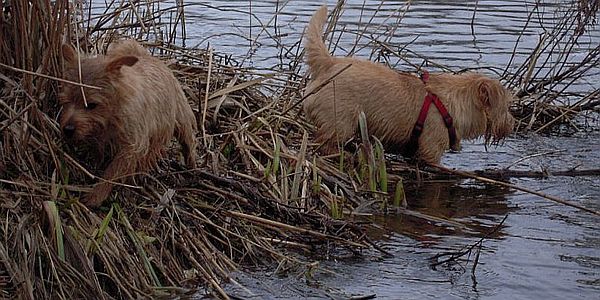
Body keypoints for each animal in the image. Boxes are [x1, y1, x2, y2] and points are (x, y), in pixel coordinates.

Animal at [60, 39, 198, 207]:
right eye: (66, 101)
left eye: (91, 105)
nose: (68, 129)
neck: (111, 115)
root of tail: (148, 56)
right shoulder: (101, 139)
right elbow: (99, 153)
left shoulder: (132, 146)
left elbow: (113, 171)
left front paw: (96, 195)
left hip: (181, 117)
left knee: (188, 141)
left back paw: (191, 166)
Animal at [304, 5, 516, 165]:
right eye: (506, 106)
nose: (512, 124)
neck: (454, 103)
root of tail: (329, 63)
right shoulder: (431, 151)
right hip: (340, 123)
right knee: (326, 144)